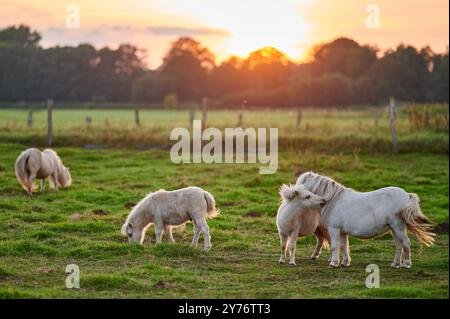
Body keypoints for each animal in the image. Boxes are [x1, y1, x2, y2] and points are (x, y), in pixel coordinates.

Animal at [296, 172, 436, 270]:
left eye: (302, 184)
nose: (294, 193)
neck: (333, 200)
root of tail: (407, 195)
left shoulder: (334, 229)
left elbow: (335, 246)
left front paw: (334, 263)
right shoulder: (342, 231)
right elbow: (344, 246)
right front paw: (345, 262)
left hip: (398, 226)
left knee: (406, 243)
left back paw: (406, 264)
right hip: (394, 228)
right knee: (399, 245)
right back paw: (395, 264)